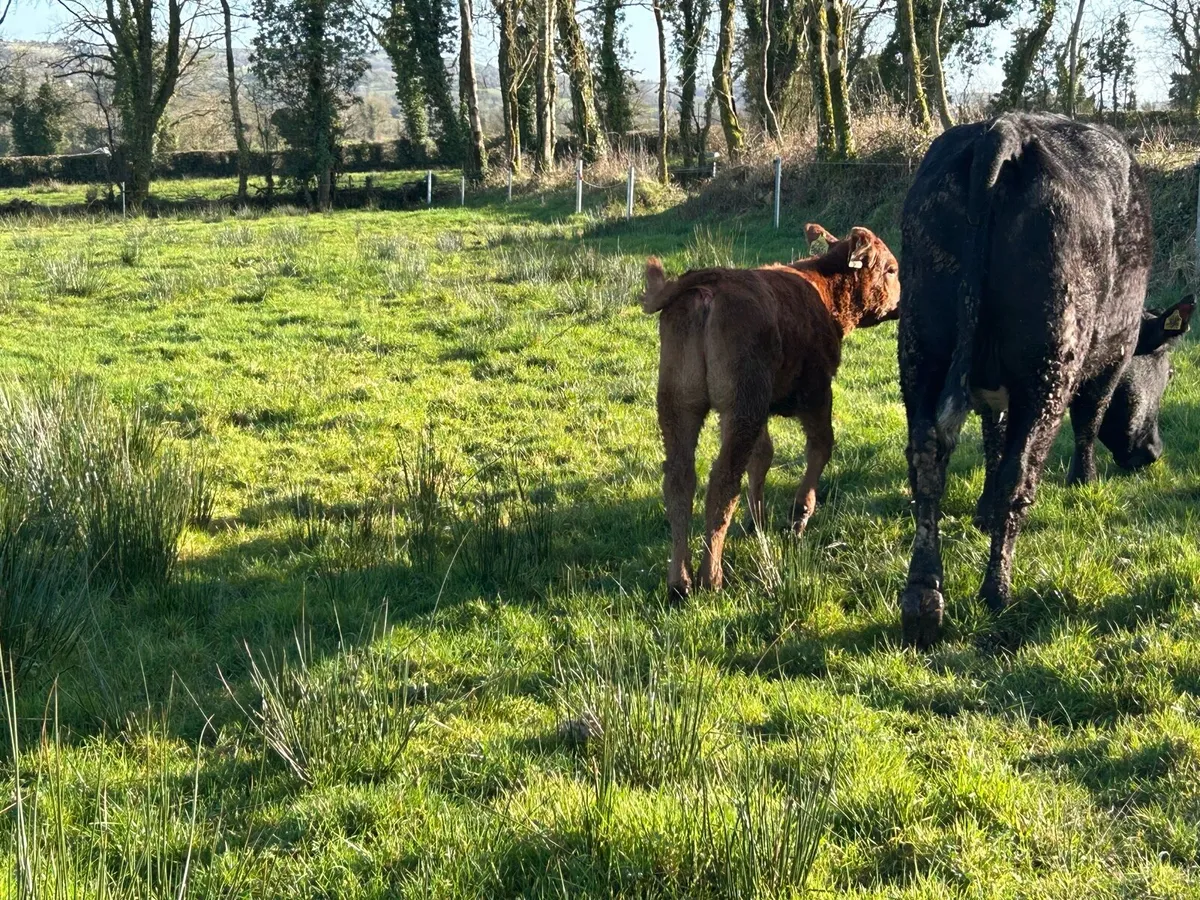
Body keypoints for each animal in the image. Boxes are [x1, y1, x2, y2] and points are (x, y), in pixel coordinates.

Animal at [643, 225, 901, 600]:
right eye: (892, 269)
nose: (902, 303)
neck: (821, 286)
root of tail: (714, 283)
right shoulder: (815, 391)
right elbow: (820, 445)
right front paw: (798, 516)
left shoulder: (762, 407)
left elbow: (762, 456)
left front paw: (758, 520)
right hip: (741, 406)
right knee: (722, 482)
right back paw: (711, 576)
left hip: (680, 404)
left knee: (680, 480)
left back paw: (680, 581)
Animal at [898, 112, 1193, 649]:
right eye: (1168, 369)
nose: (1154, 452)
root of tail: (1004, 130)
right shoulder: (1113, 354)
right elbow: (1089, 419)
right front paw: (1083, 482)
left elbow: (993, 438)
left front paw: (982, 509)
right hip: (1049, 366)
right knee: (1021, 474)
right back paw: (996, 592)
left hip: (920, 350)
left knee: (928, 464)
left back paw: (923, 600)